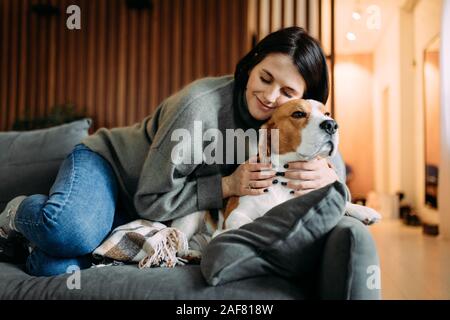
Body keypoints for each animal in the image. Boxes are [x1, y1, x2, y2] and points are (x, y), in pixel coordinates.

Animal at [172, 99, 380, 256]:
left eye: (327, 113)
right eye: (298, 114)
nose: (332, 125)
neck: (283, 177)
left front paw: (364, 210)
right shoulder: (236, 214)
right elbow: (248, 224)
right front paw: (222, 233)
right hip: (192, 215)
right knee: (178, 240)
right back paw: (191, 253)